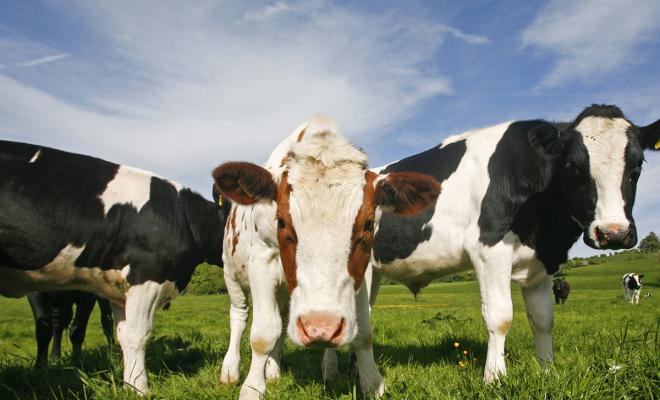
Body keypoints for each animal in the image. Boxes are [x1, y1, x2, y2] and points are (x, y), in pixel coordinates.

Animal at [0, 140, 229, 394]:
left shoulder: (119, 288)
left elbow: (124, 336)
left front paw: (129, 387)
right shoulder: (145, 276)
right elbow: (138, 334)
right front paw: (141, 389)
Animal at [213, 116, 441, 399]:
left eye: (368, 224)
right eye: (281, 221)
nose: (319, 327)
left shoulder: (362, 272)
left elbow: (363, 332)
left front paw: (372, 382)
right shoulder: (261, 261)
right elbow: (263, 333)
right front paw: (252, 389)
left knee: (283, 321)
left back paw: (283, 370)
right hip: (232, 276)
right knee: (239, 316)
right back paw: (230, 370)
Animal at [321, 104, 659, 383]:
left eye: (638, 165)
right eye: (573, 166)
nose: (613, 233)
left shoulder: (541, 265)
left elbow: (543, 320)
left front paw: (547, 372)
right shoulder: (490, 251)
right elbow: (500, 317)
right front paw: (495, 378)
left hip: (372, 271)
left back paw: (345, 371)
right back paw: (336, 373)